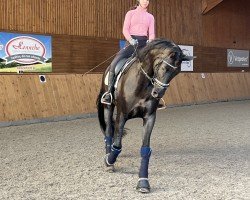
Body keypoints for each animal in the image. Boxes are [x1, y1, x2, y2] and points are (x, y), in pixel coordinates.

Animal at [96, 38, 192, 193]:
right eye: (164, 67)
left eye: (176, 73)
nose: (157, 93)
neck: (141, 82)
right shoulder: (122, 115)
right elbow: (117, 145)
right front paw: (109, 160)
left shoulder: (149, 117)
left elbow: (145, 149)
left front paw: (143, 182)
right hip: (108, 107)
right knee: (109, 132)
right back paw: (108, 160)